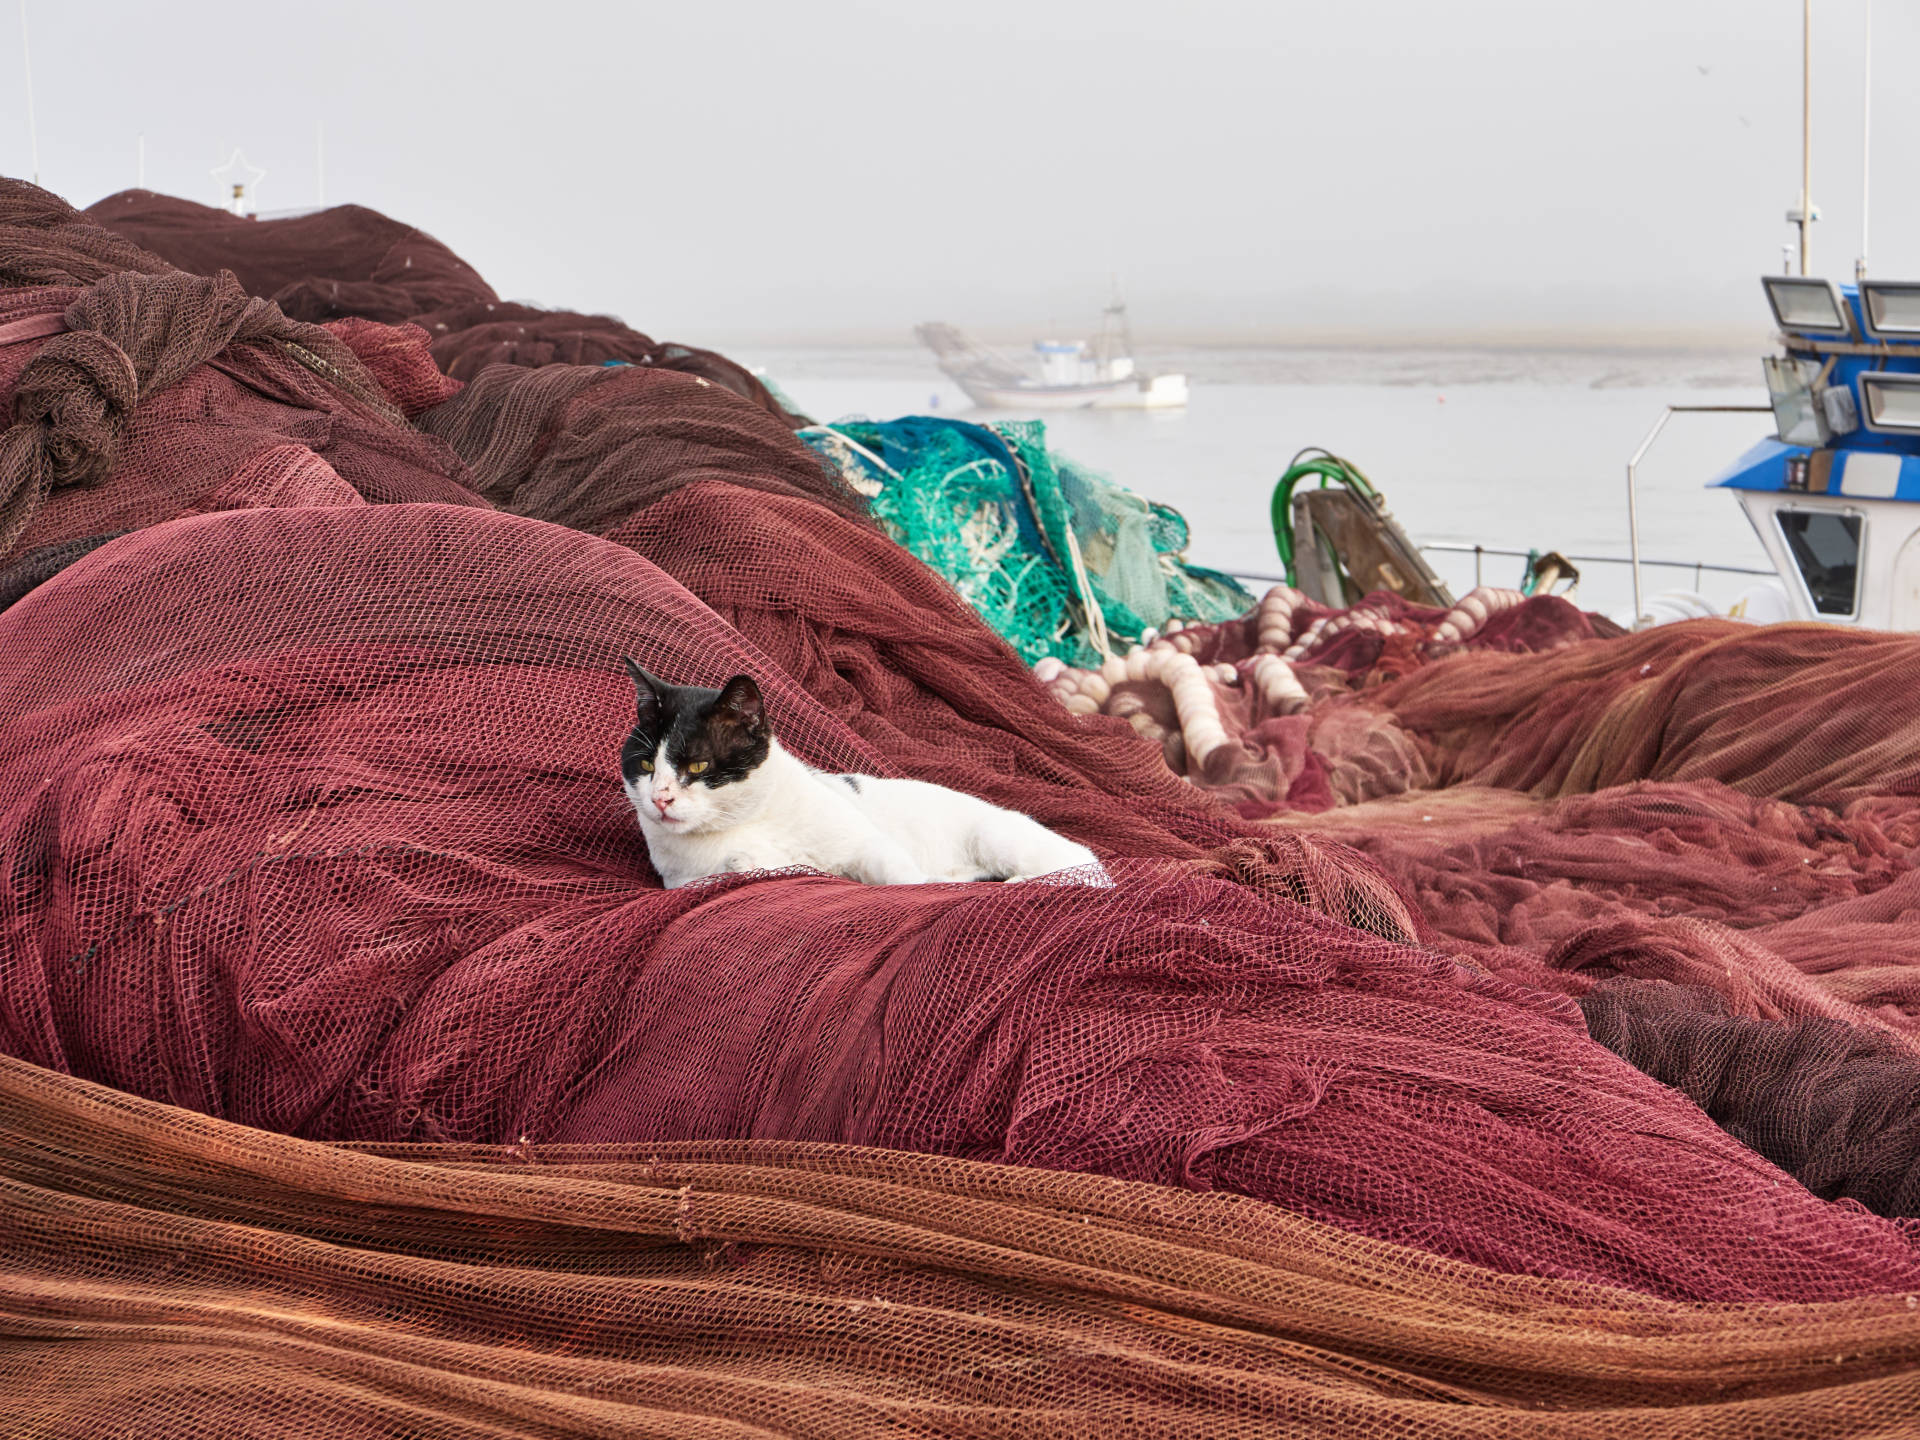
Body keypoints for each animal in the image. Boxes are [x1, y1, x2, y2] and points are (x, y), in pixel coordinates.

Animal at [614, 664, 1098, 890]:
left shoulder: (868, 845)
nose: (659, 798)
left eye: (697, 766)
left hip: (1000, 837)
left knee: (1085, 872)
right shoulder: (687, 879)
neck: (745, 823)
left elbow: (904, 878)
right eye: (646, 766)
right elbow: (743, 867)